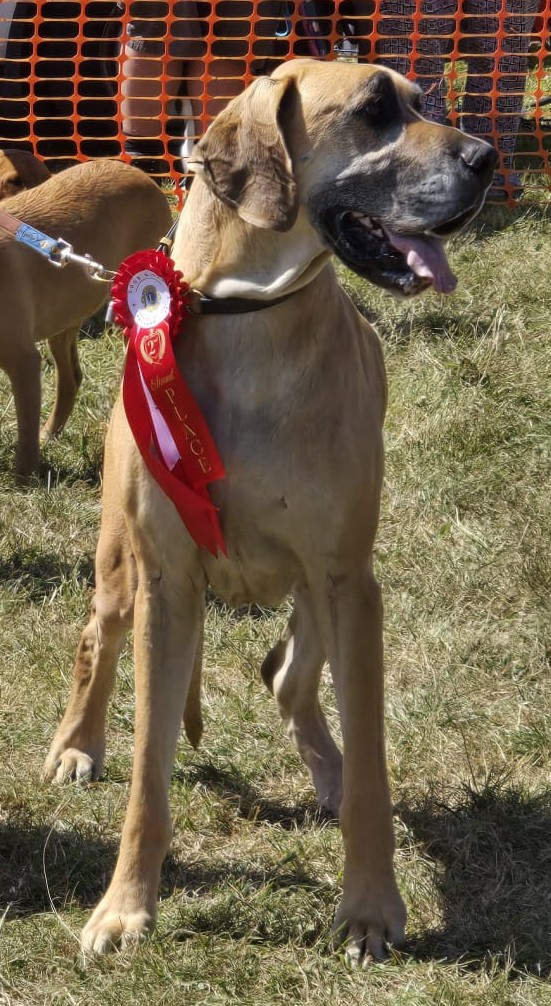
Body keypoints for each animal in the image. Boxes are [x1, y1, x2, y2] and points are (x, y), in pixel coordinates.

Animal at [0, 158, 172, 480]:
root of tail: (140, 173)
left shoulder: (23, 360)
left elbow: (26, 440)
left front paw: (23, 482)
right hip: (66, 313)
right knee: (71, 378)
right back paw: (51, 432)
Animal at [44, 60, 497, 961]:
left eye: (423, 101)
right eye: (373, 110)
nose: (488, 159)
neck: (249, 317)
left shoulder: (346, 577)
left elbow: (371, 765)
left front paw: (369, 906)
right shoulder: (167, 581)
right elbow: (147, 771)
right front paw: (124, 908)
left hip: (326, 587)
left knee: (287, 673)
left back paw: (325, 766)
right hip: (120, 564)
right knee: (95, 636)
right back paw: (77, 744)